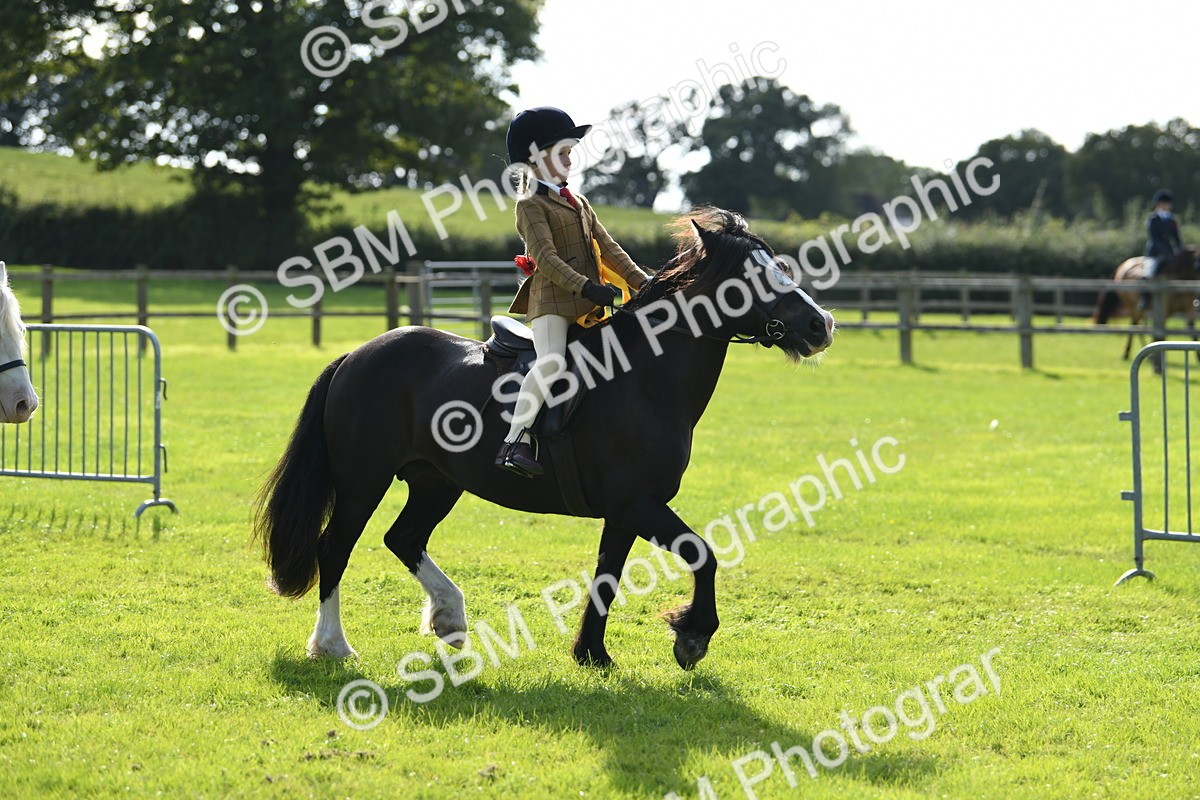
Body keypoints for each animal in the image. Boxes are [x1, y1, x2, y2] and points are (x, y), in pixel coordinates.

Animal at [254, 208, 835, 671]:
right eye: (749, 278)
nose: (821, 324)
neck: (644, 376)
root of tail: (358, 355)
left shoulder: (625, 511)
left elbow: (608, 577)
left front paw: (592, 654)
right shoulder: (638, 502)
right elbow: (703, 554)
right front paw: (691, 637)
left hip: (436, 481)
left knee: (404, 538)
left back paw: (449, 618)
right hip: (362, 482)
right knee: (335, 549)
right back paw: (332, 645)